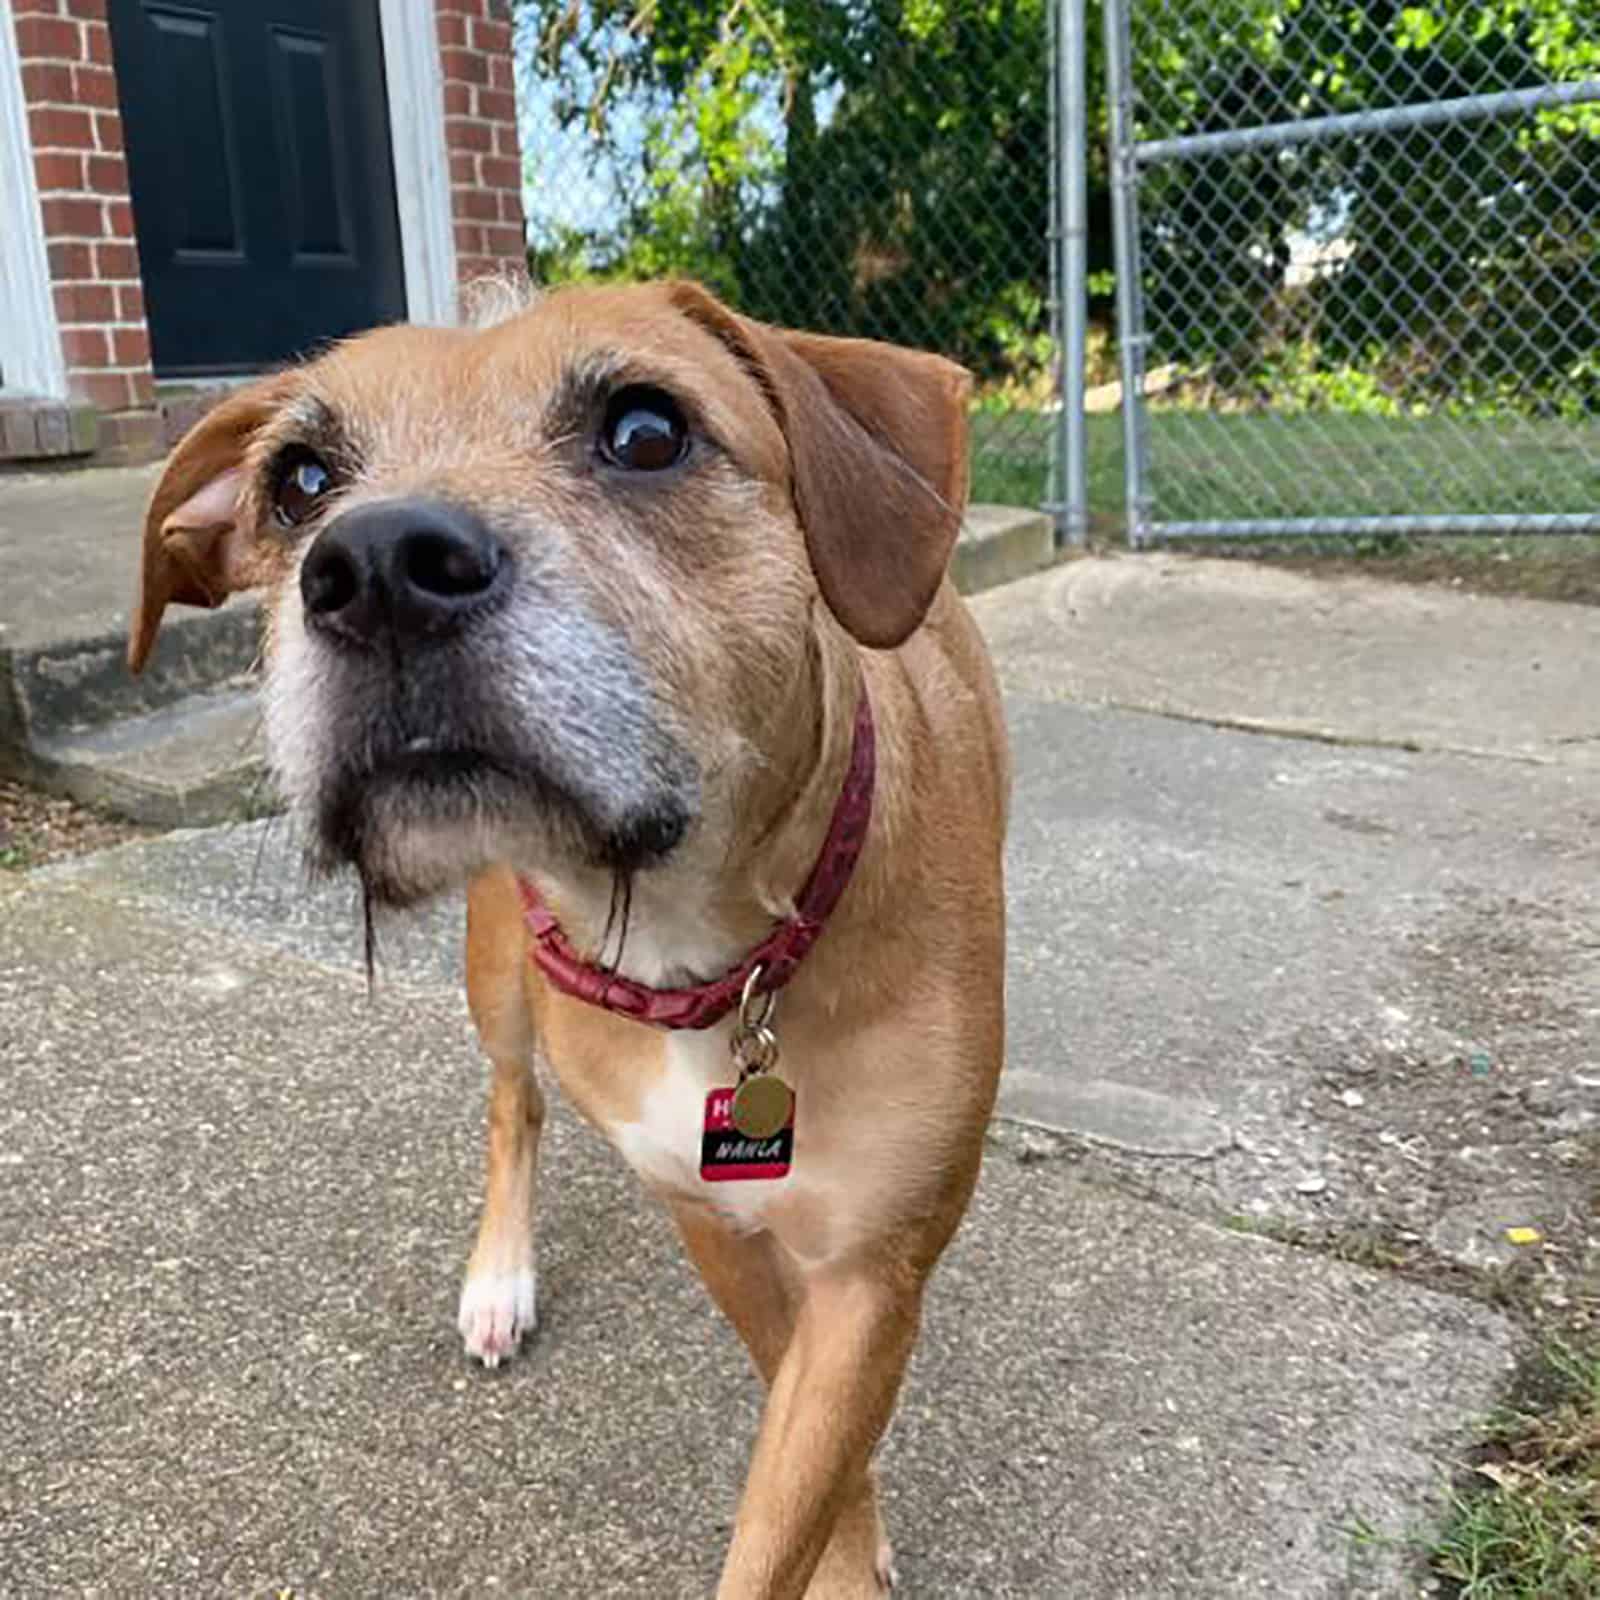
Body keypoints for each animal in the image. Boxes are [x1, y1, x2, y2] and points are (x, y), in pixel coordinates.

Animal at [128, 284, 998, 1600]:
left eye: (646, 430)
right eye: (299, 479)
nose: (375, 567)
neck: (706, 953)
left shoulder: (871, 1270)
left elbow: (804, 1478)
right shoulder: (715, 1224)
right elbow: (799, 1446)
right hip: (497, 973)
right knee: (512, 1104)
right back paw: (499, 1275)